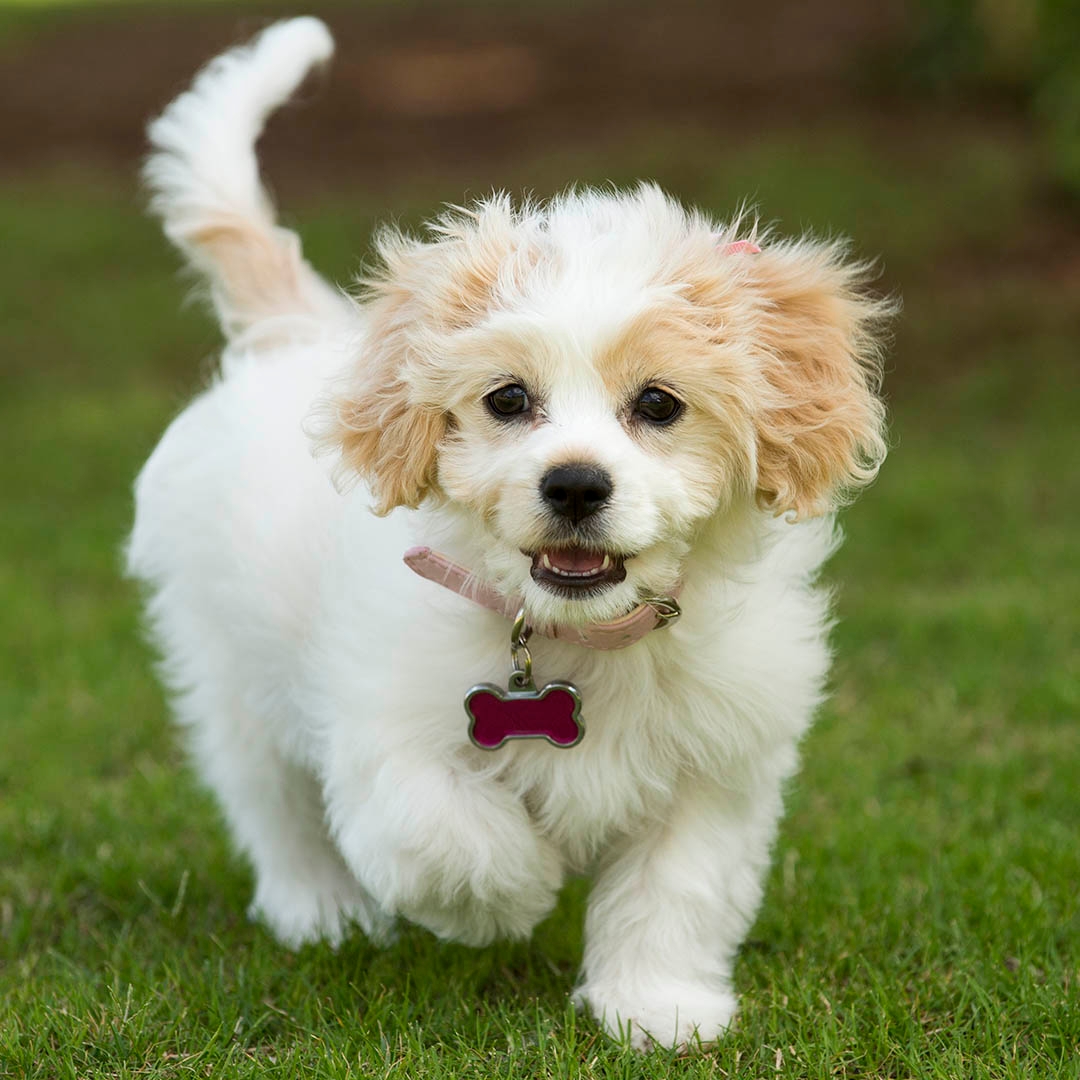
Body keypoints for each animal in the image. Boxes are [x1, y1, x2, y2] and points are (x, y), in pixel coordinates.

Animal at [126, 19, 889, 1054]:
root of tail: (294, 335)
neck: (579, 637)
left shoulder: (718, 767)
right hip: (229, 668)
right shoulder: (385, 733)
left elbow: (675, 890)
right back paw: (319, 909)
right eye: (507, 399)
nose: (573, 483)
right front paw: (517, 894)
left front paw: (656, 1008)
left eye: (659, 403)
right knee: (270, 801)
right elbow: (446, 835)